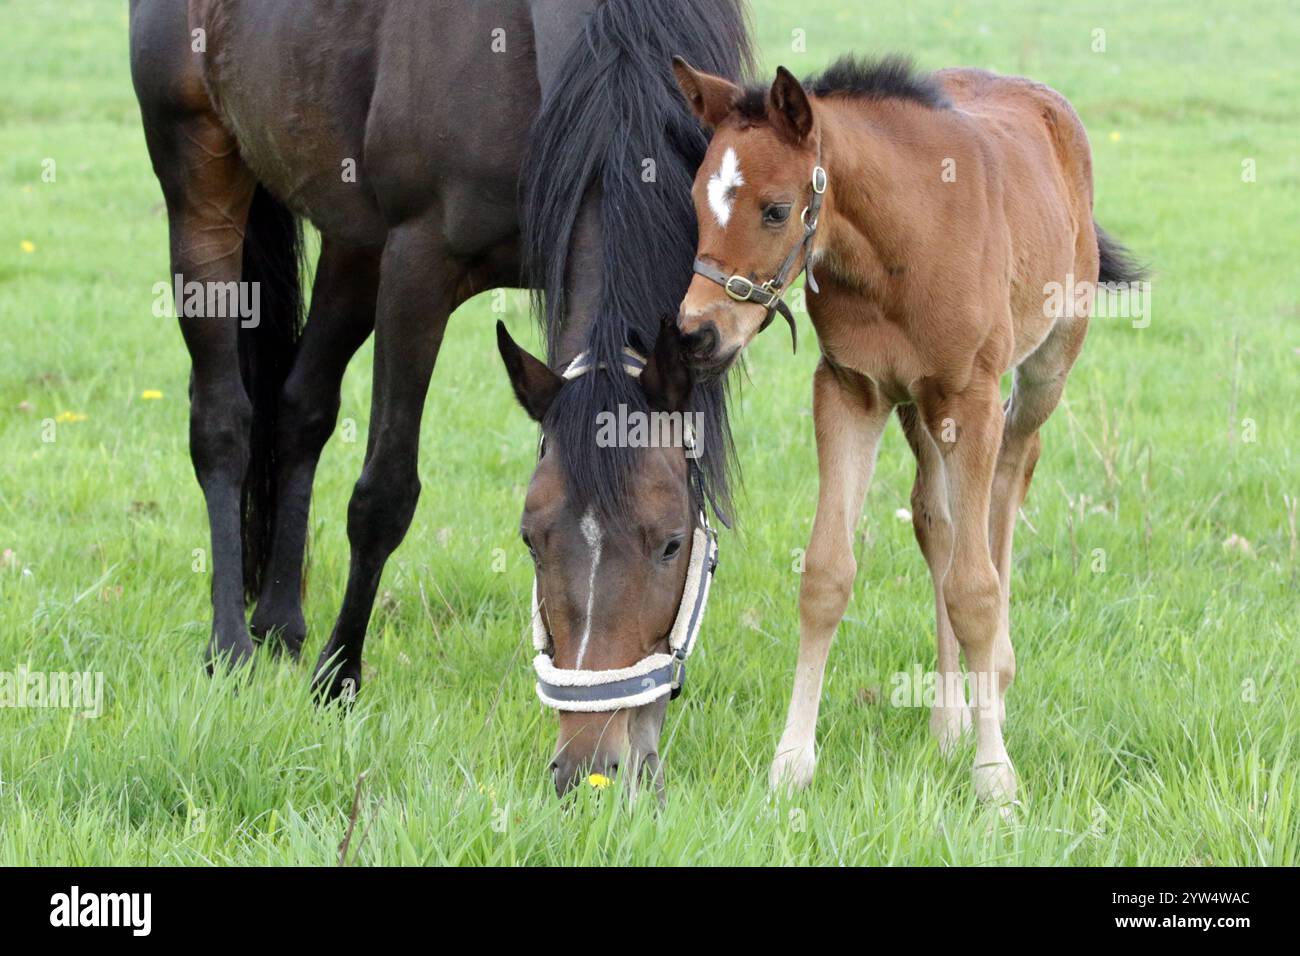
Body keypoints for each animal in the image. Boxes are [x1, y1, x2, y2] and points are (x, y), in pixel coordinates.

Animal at [676, 52, 1144, 801]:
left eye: (775, 210)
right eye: (697, 201)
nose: (697, 334)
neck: (900, 242)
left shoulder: (971, 396)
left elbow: (976, 589)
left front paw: (995, 779)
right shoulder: (850, 391)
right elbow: (827, 574)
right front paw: (791, 763)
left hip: (1045, 366)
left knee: (1008, 484)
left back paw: (997, 682)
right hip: (917, 410)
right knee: (939, 522)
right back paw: (949, 721)